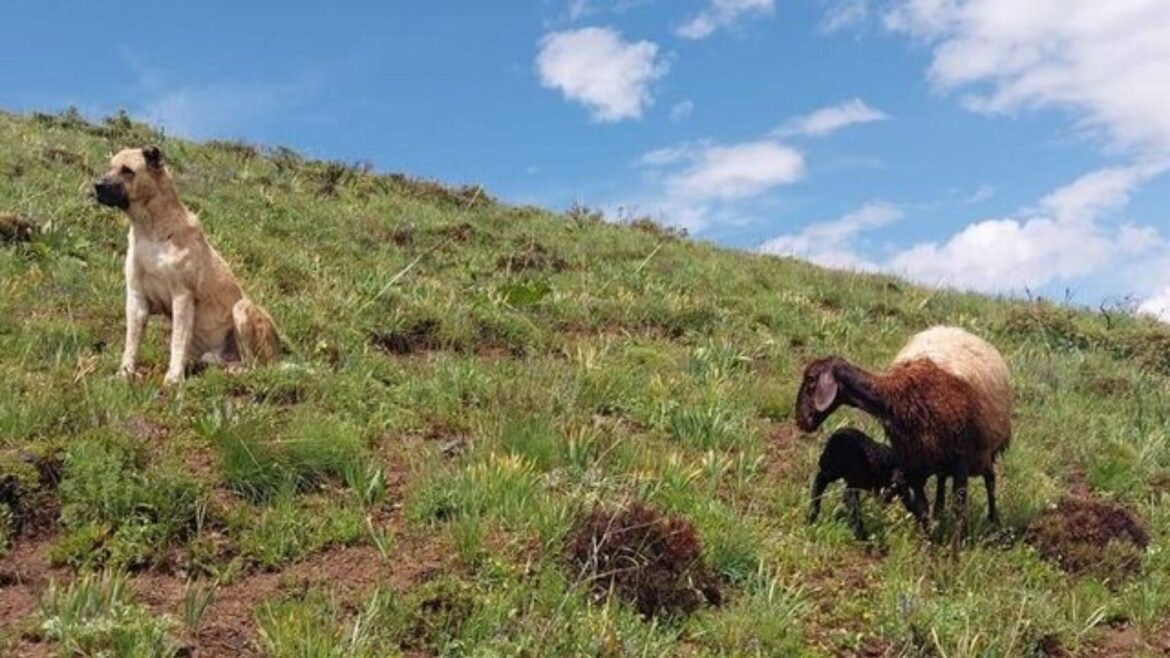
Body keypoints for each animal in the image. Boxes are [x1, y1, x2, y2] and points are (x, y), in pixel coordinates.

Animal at [94, 144, 280, 384]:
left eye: (127, 171)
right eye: (110, 167)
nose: (97, 186)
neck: (150, 230)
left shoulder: (182, 297)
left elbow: (178, 342)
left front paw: (173, 378)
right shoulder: (137, 298)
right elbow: (131, 342)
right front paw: (124, 373)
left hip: (242, 308)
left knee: (255, 366)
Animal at [795, 323, 1015, 533]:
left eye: (811, 381)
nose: (800, 420)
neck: (904, 397)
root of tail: (956, 330)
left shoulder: (960, 461)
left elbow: (959, 510)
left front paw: (955, 544)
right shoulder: (913, 466)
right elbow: (923, 508)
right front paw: (928, 539)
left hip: (984, 451)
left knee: (990, 479)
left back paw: (994, 520)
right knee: (942, 481)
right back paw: (940, 513)